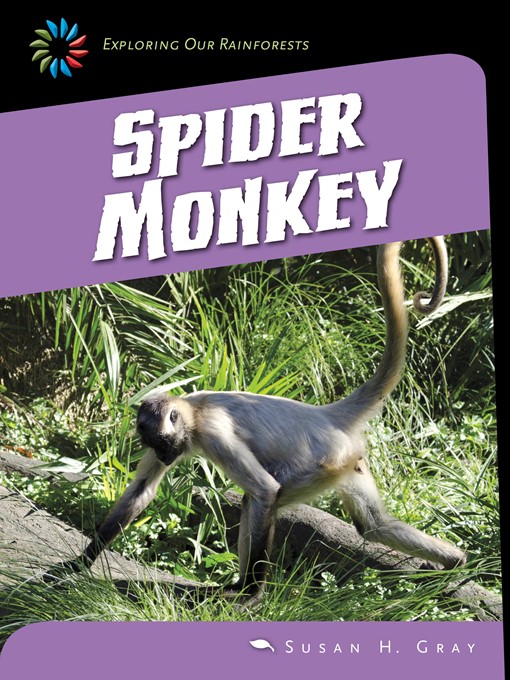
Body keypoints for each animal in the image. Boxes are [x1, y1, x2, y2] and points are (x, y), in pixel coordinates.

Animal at [79, 237, 466, 601]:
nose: (163, 455)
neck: (194, 409)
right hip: (349, 461)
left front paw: (253, 595)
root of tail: (324, 413)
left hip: (323, 463)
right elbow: (141, 493)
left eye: (162, 442)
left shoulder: (212, 431)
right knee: (373, 525)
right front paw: (78, 563)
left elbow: (265, 490)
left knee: (259, 498)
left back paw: (247, 589)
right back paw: (456, 561)